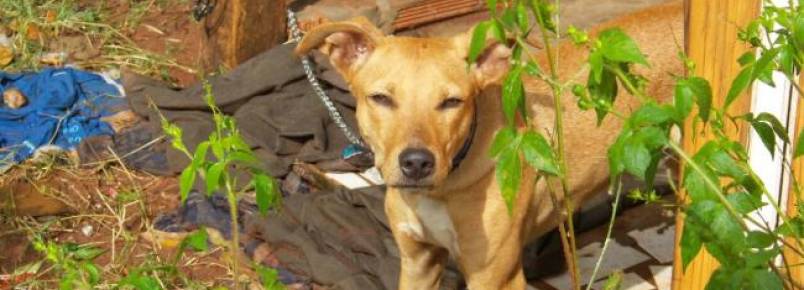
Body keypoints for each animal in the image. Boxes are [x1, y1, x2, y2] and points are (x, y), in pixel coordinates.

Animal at [292, 1, 680, 288]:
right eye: (381, 98)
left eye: (452, 102)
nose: (416, 163)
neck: (443, 189)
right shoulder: (418, 261)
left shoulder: (494, 276)